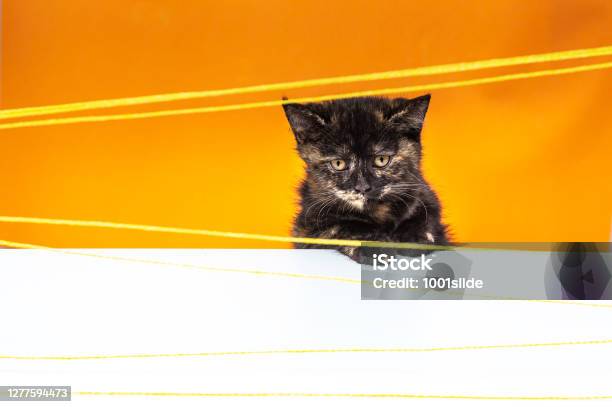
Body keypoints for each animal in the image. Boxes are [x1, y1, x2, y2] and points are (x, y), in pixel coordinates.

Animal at [284, 95, 450, 262]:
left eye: (381, 160)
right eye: (338, 163)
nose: (362, 187)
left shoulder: (423, 195)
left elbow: (426, 218)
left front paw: (416, 236)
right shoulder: (306, 227)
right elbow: (340, 227)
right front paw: (374, 245)